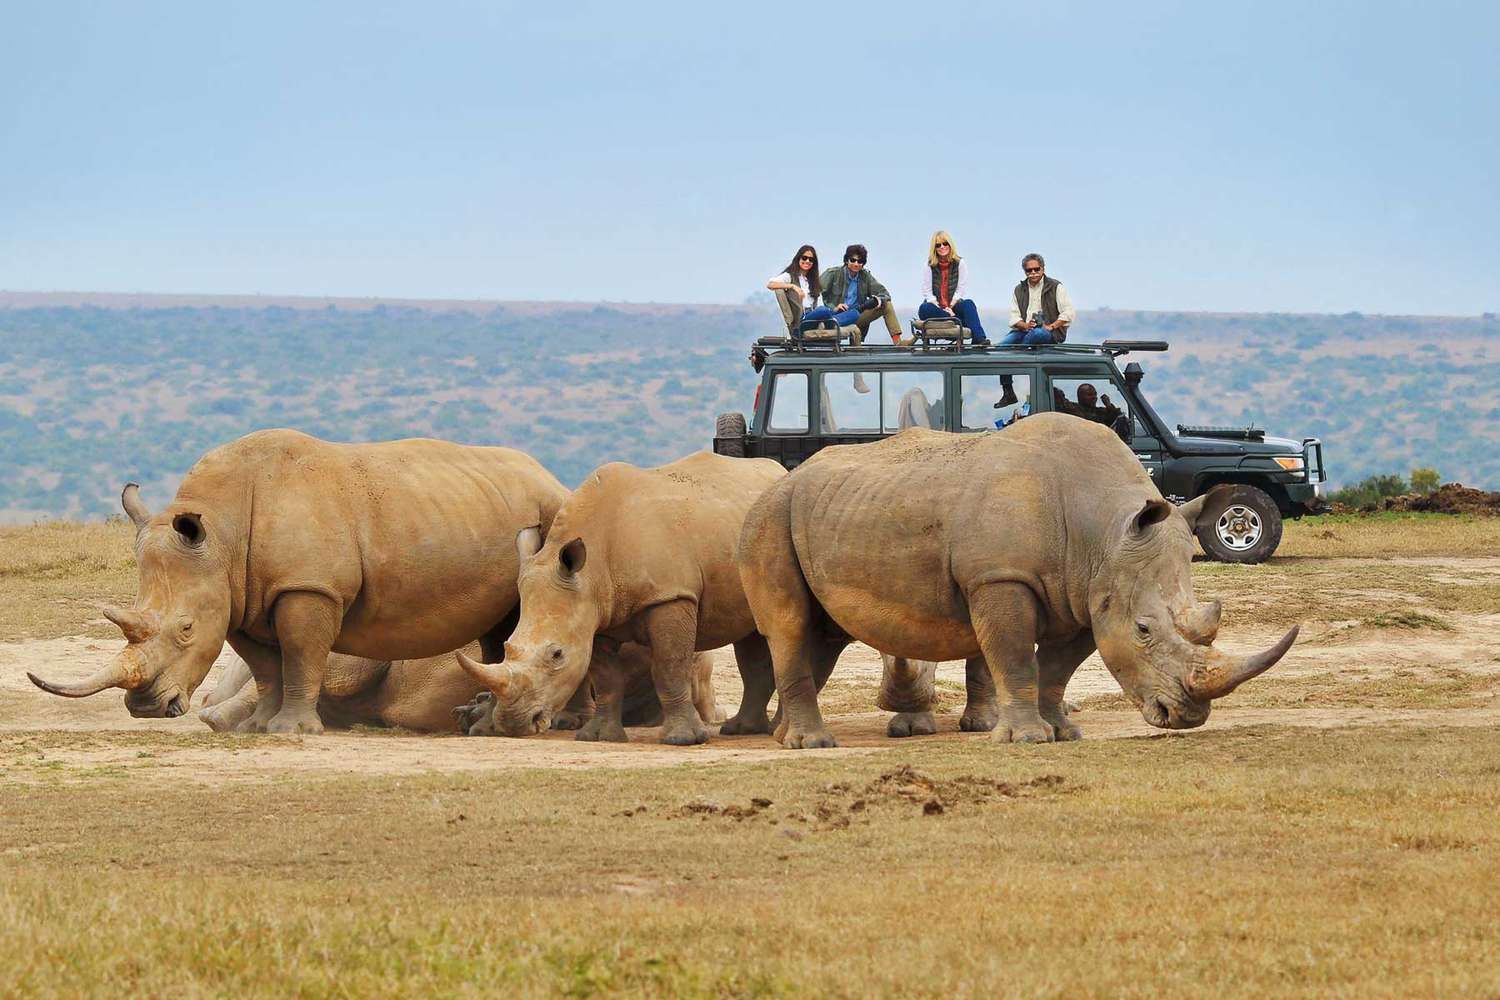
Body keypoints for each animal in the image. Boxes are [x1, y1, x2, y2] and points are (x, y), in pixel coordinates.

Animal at [29, 430, 569, 735]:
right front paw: (255, 729)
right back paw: (484, 723)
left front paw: (293, 731)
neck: (221, 535)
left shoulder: (308, 586)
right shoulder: (241, 595)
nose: (145, 709)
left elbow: (302, 654)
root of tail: (553, 477)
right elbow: (266, 664)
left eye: (185, 629)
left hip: (550, 518)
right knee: (499, 630)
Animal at [457, 451, 786, 745]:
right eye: (507, 647)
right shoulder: (595, 613)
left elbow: (669, 666)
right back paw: (742, 730)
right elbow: (606, 678)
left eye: (557, 654)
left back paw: (768, 731)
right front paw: (598, 737)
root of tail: (779, 471)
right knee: (753, 640)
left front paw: (683, 740)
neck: (591, 572)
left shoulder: (669, 596)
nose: (513, 723)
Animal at [736, 415, 1298, 748]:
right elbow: (1012, 656)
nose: (1187, 717)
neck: (1104, 532)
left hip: (826, 511)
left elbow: (1057, 669)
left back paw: (784, 736)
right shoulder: (1001, 578)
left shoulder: (1084, 592)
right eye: (1143, 630)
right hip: (768, 518)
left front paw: (1065, 732)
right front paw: (1028, 739)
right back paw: (811, 744)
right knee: (789, 625)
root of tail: (778, 480)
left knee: (822, 636)